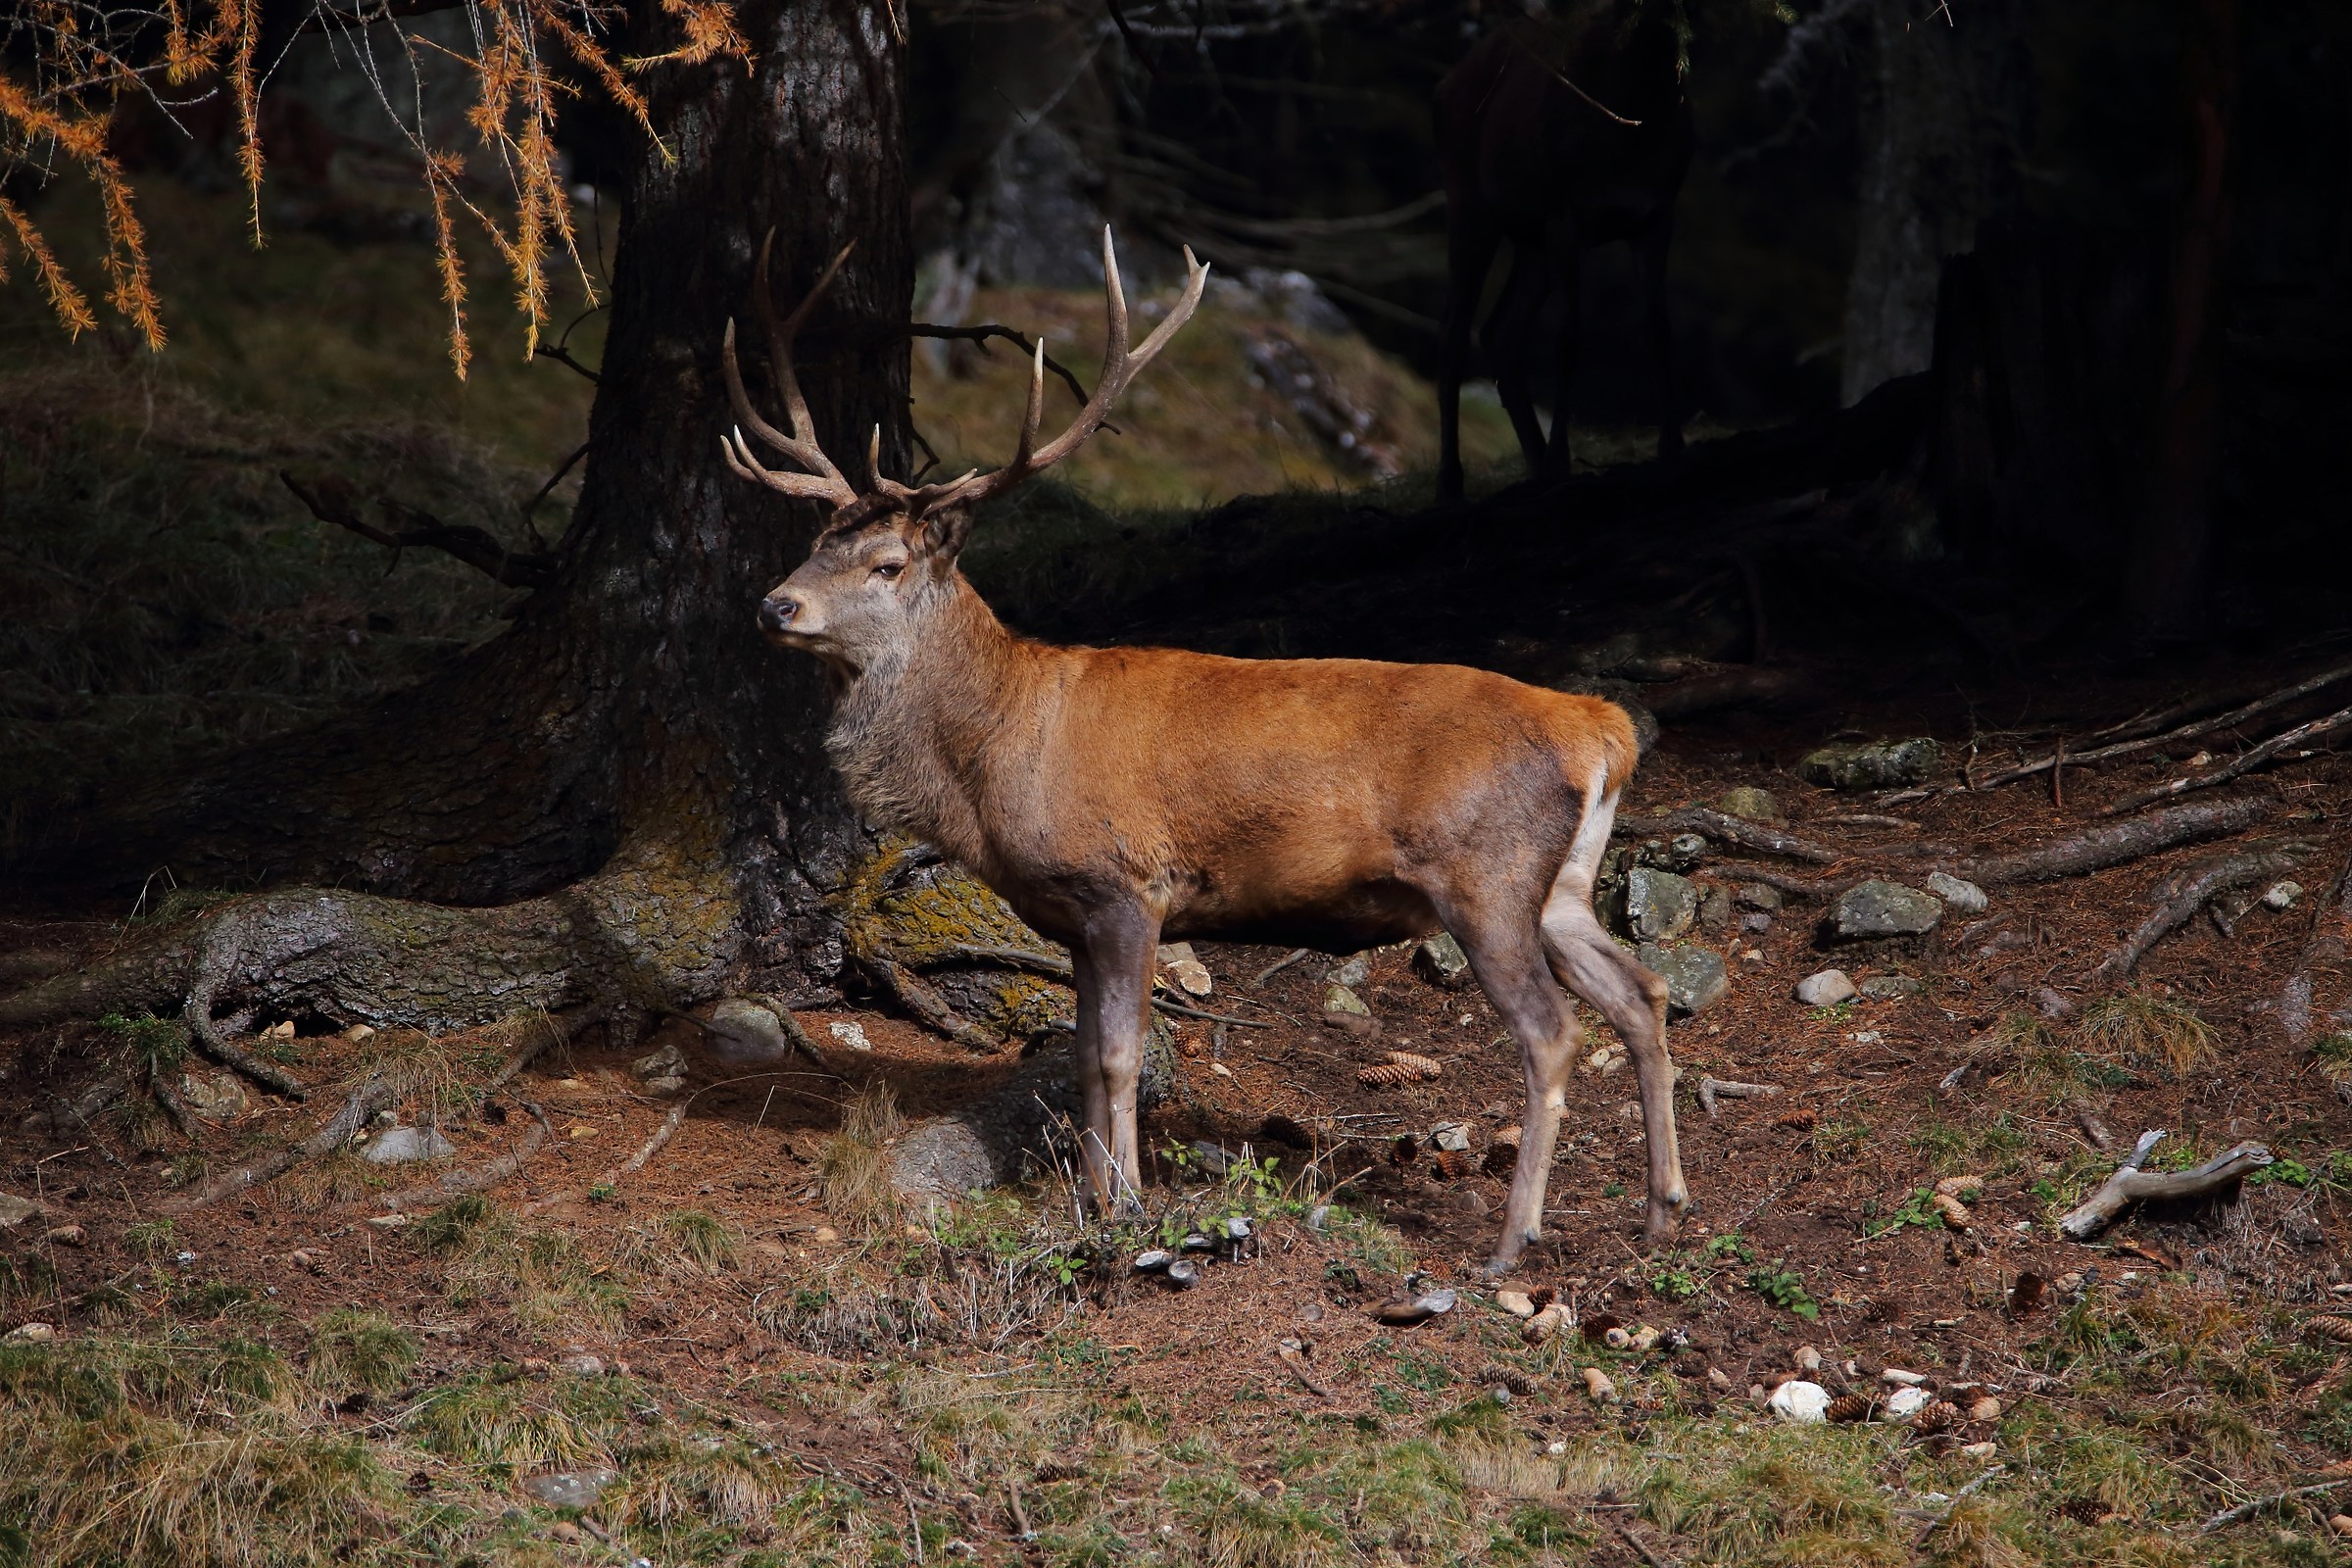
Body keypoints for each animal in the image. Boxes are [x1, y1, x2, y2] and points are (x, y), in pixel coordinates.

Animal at [719, 228, 1686, 1274]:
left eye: (888, 564)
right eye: (817, 542)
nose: (775, 604)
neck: (995, 759)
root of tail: (1600, 727)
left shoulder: (1126, 884)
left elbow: (1117, 1056)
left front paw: (1132, 1207)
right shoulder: (1072, 913)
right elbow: (1081, 1059)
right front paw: (1091, 1202)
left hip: (1487, 874)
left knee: (1553, 1033)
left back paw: (1512, 1243)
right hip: (1562, 885)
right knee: (1643, 991)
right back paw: (1661, 1209)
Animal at [1434, 1, 1694, 502]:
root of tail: (1445, 81)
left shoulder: (1656, 214)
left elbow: (1659, 327)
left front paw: (1672, 445)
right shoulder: (1566, 215)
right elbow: (1569, 338)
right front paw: (1561, 458)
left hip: (1530, 239)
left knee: (1497, 332)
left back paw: (1534, 462)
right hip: (1469, 201)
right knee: (1454, 334)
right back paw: (1451, 483)